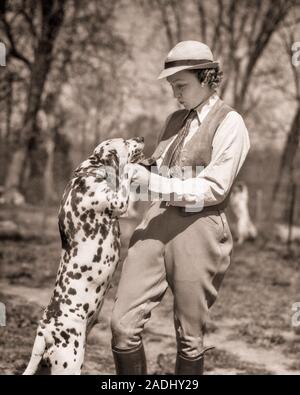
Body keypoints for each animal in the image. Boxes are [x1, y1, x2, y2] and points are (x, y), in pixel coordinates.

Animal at [23, 138, 144, 376]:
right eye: (126, 142)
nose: (141, 140)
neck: (90, 171)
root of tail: (44, 332)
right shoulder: (118, 202)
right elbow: (126, 175)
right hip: (70, 364)